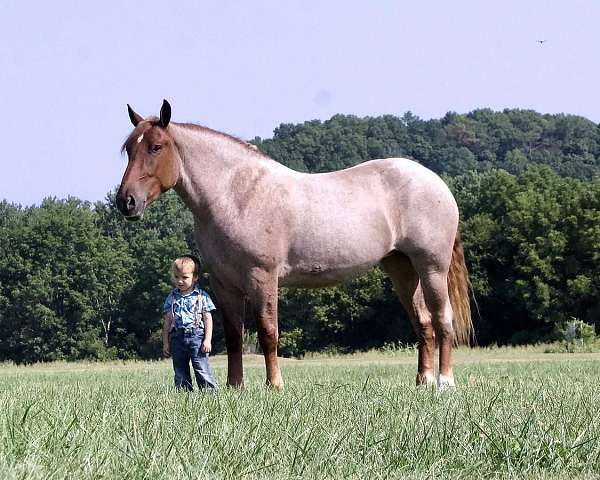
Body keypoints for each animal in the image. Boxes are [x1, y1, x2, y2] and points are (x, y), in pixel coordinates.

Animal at [117, 100, 472, 390]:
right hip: (402, 269)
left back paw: (445, 382)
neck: (236, 195)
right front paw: (234, 388)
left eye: (156, 147)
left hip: (432, 267)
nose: (126, 202)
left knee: (442, 320)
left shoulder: (262, 277)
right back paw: (423, 381)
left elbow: (267, 332)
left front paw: (274, 385)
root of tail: (435, 181)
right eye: (129, 149)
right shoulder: (224, 284)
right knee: (423, 323)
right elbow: (233, 337)